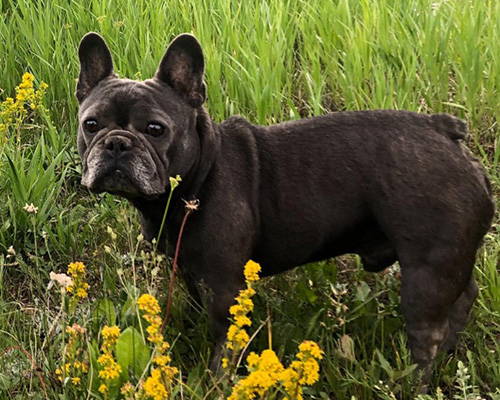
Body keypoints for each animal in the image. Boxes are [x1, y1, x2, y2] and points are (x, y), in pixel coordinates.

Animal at [76, 32, 494, 390]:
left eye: (155, 129)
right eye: (90, 124)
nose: (117, 143)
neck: (200, 174)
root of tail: (443, 130)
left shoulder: (225, 285)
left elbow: (225, 341)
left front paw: (216, 382)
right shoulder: (192, 270)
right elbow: (195, 306)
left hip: (427, 272)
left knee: (427, 335)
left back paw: (415, 382)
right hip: (448, 263)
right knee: (463, 297)